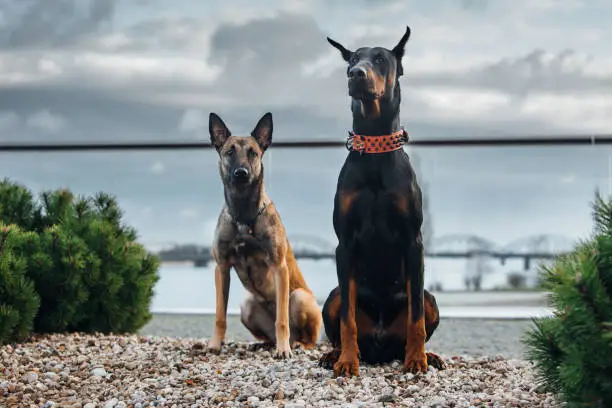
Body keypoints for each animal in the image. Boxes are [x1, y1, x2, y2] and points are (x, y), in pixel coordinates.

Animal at [208, 111, 322, 356]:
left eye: (253, 152)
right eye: (229, 151)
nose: (241, 173)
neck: (243, 214)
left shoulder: (279, 267)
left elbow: (282, 319)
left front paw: (283, 349)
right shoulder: (222, 268)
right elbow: (220, 315)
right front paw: (215, 344)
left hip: (300, 298)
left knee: (306, 335)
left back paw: (295, 343)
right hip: (247, 305)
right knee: (265, 331)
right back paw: (265, 343)